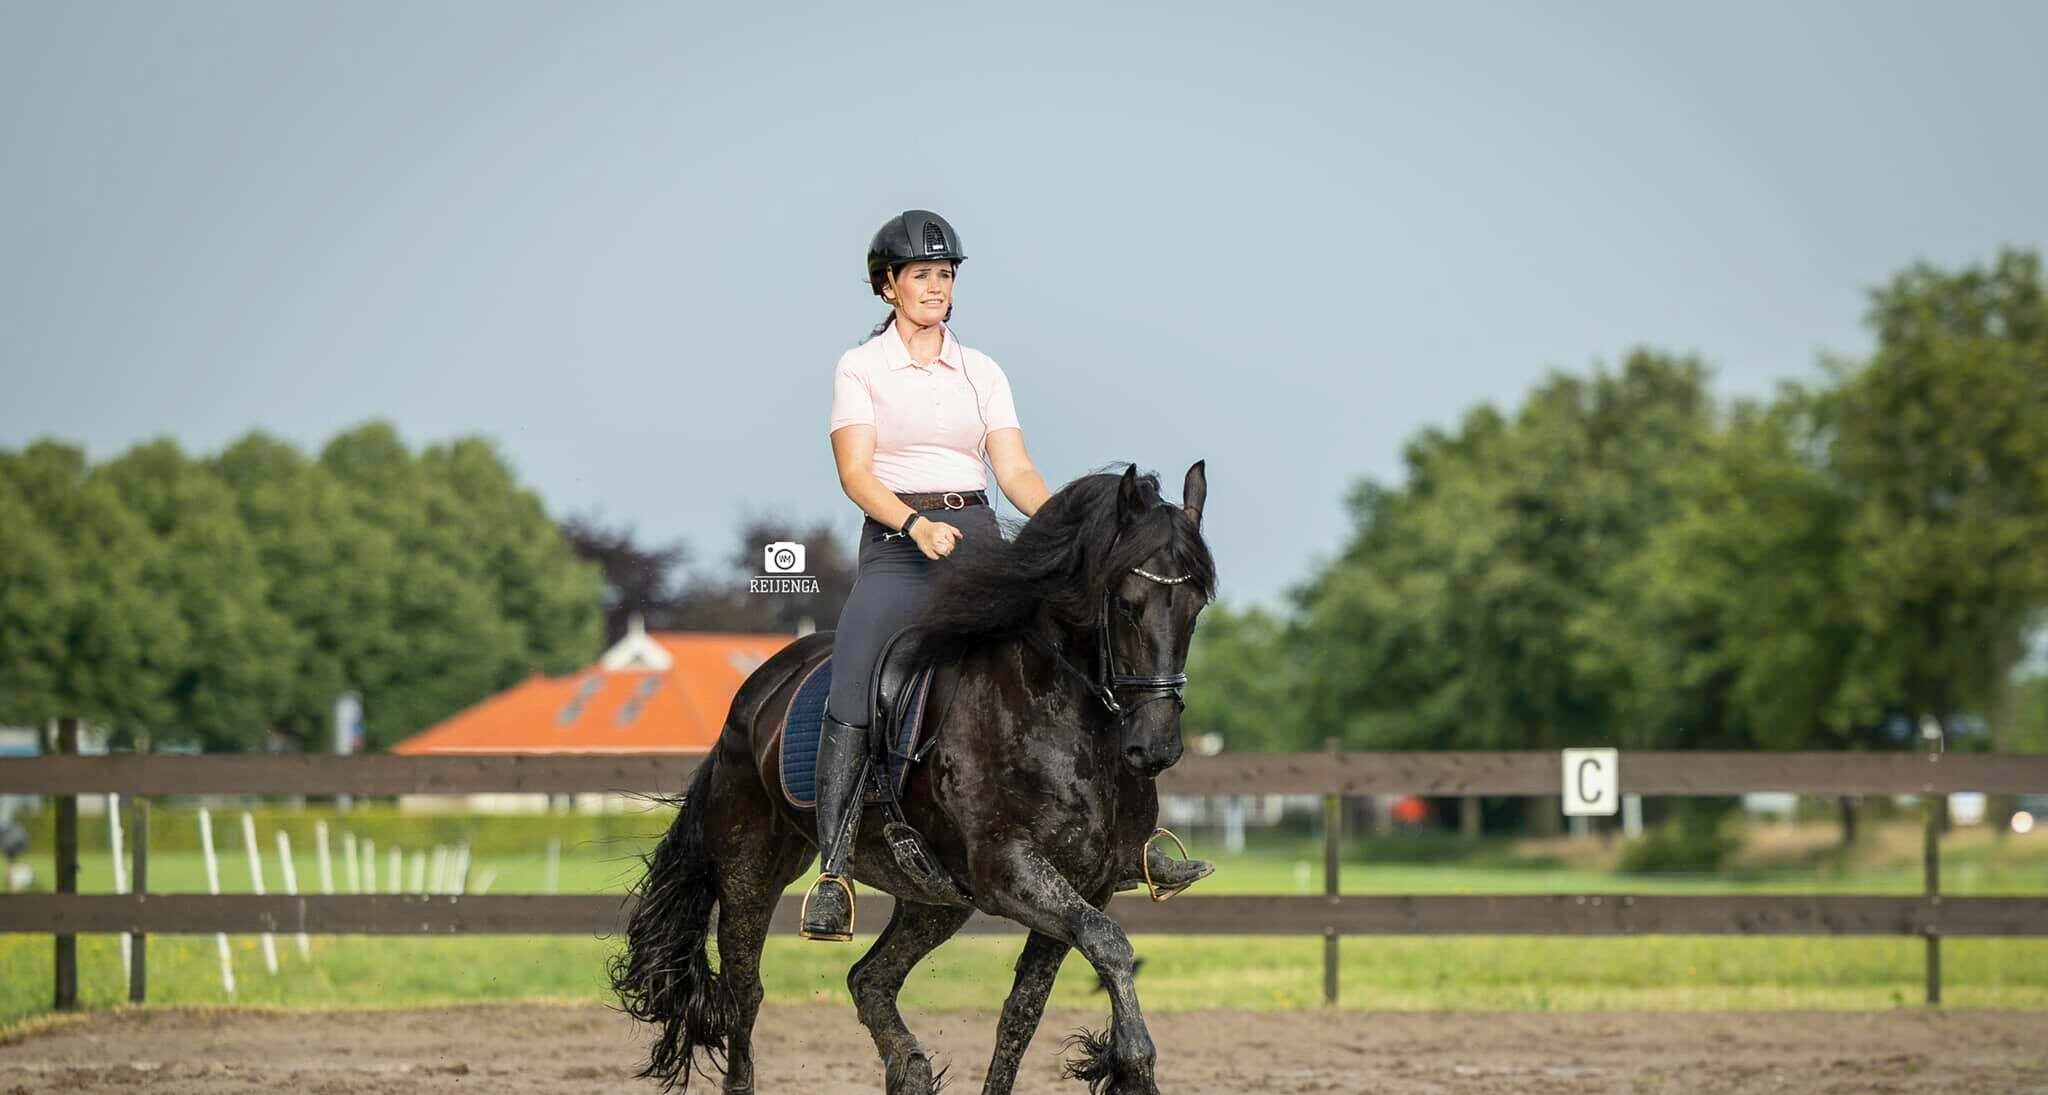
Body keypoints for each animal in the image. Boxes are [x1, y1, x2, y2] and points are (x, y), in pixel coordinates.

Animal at [606, 462, 1212, 1095]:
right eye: (1127, 605)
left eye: (1195, 608)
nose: (1155, 746)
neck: (1059, 713)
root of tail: (756, 691)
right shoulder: (1011, 872)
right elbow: (1110, 944)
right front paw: (1134, 1060)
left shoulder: (1085, 885)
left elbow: (1026, 1008)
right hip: (750, 870)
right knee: (744, 995)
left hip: (933, 898)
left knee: (868, 979)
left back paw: (911, 1068)